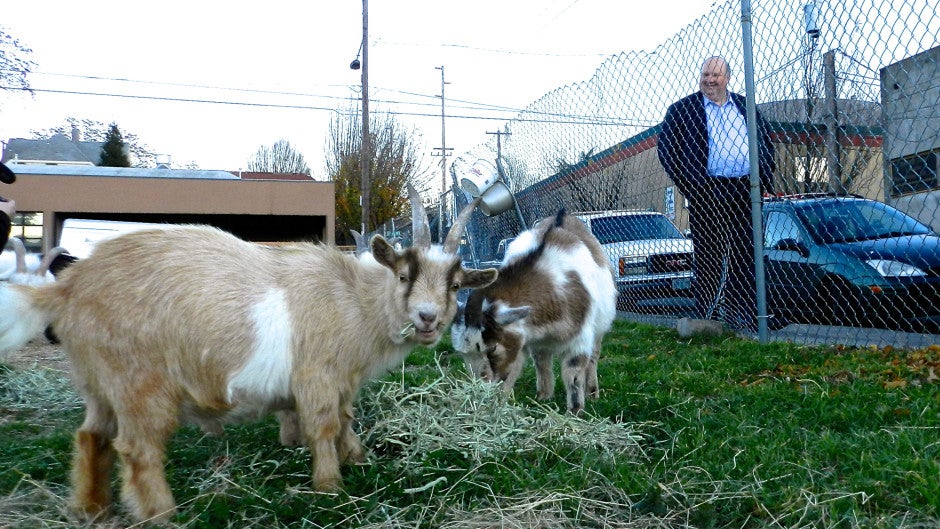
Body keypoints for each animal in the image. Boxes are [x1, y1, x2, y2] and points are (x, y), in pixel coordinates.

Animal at [0, 187, 500, 524]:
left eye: (456, 284)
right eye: (403, 275)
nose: (427, 317)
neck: (354, 297)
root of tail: (67, 289)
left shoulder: (342, 378)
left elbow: (346, 417)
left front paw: (358, 459)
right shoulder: (317, 373)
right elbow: (324, 426)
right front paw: (330, 486)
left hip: (98, 380)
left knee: (91, 437)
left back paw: (91, 509)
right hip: (139, 381)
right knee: (137, 447)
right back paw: (161, 513)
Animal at [450, 209, 616, 412]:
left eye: (493, 347)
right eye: (462, 353)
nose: (481, 386)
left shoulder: (580, 338)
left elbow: (574, 374)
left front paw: (575, 411)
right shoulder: (521, 339)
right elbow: (515, 369)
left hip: (598, 329)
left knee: (593, 357)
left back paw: (592, 392)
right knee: (542, 360)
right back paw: (544, 395)